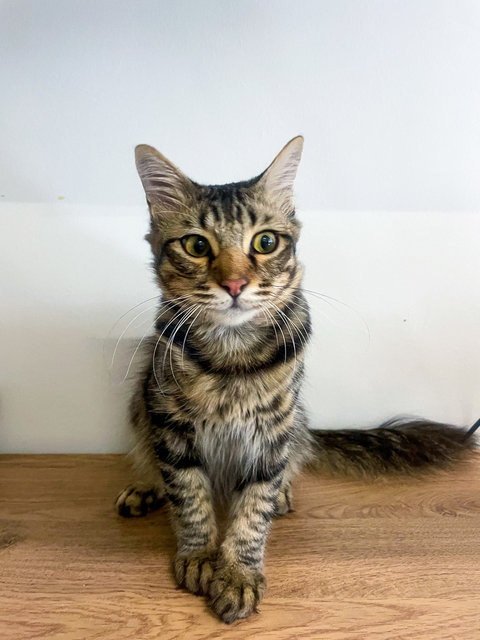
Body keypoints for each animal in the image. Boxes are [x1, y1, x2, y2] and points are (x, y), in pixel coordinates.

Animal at [114, 138, 478, 624]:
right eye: (195, 245)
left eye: (265, 242)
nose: (235, 284)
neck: (231, 357)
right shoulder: (169, 420)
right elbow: (189, 495)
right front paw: (200, 555)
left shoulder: (272, 427)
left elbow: (253, 511)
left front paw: (238, 572)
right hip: (142, 403)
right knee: (155, 464)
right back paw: (147, 488)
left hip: (295, 420)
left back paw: (281, 493)